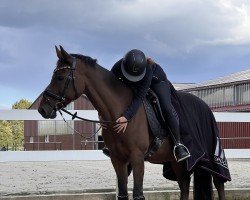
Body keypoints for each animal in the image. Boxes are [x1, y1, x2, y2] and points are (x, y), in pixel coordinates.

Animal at [38, 45, 228, 200]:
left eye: (60, 77)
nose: (43, 108)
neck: (119, 111)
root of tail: (205, 106)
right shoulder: (118, 159)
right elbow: (123, 193)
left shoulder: (137, 158)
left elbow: (138, 194)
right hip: (178, 163)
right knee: (184, 186)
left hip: (210, 157)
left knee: (219, 184)